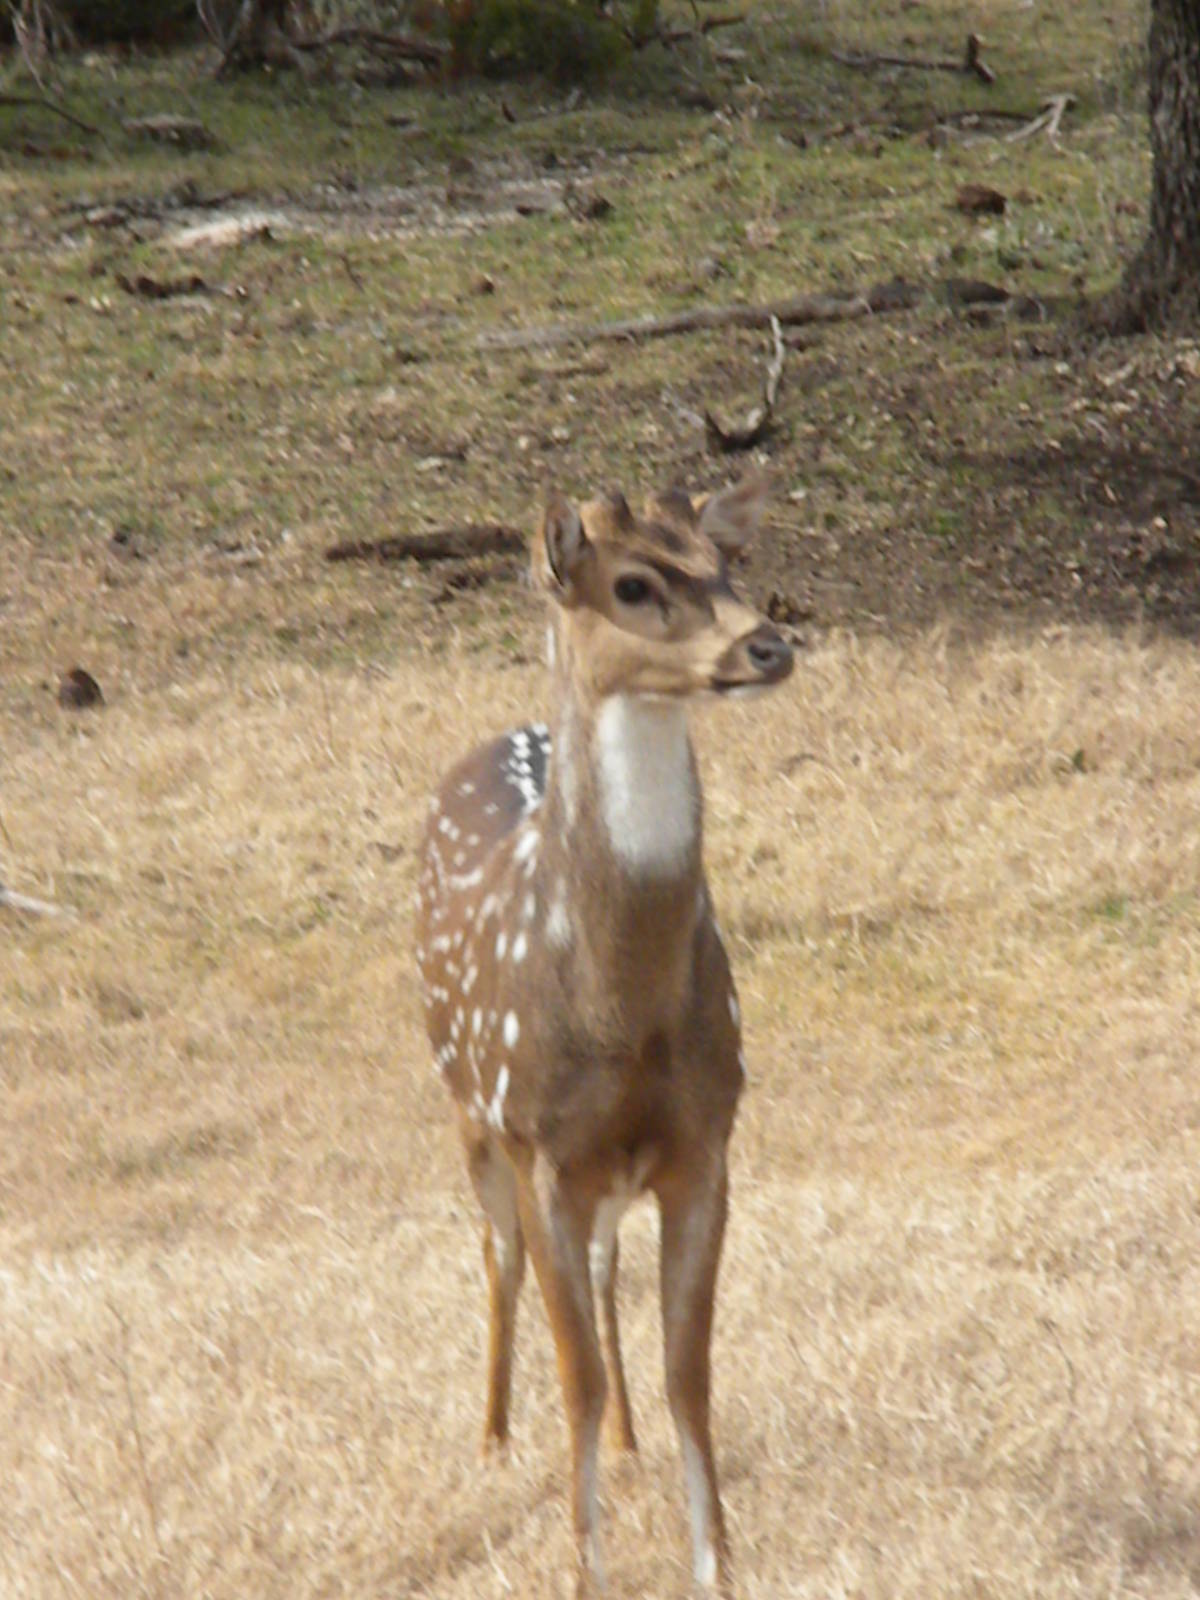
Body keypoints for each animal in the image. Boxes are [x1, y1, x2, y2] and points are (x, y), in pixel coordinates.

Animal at [414, 476, 794, 1595]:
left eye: (727, 560)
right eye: (633, 583)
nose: (769, 643)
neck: (619, 1011)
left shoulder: (705, 1141)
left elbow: (690, 1370)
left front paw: (716, 1563)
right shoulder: (540, 1140)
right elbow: (573, 1371)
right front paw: (585, 1567)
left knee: (605, 1263)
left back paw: (626, 1444)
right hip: (468, 1103)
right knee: (496, 1251)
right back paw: (493, 1437)